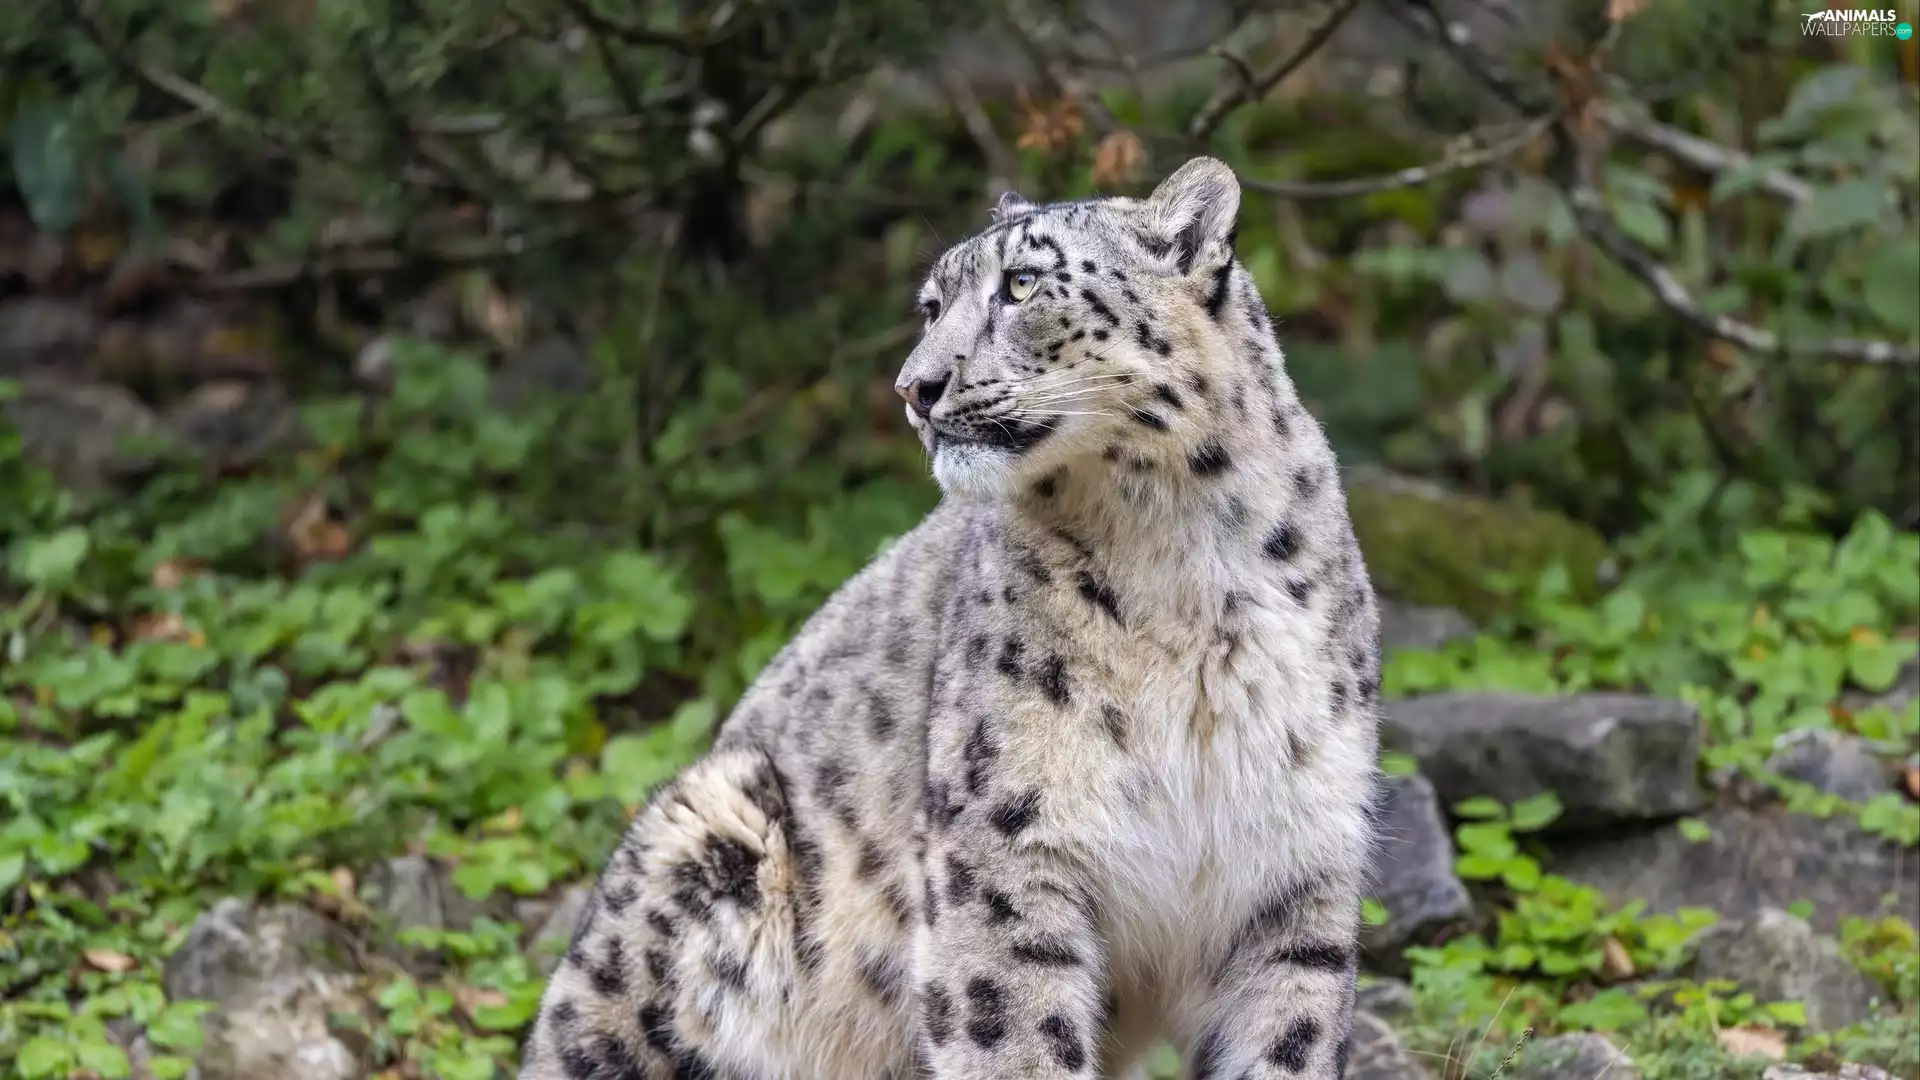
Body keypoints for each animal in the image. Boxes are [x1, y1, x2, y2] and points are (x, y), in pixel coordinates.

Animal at [517, 156, 1384, 1080]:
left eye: (1023, 282)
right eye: (933, 305)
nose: (914, 387)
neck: (1185, 567)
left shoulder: (1296, 873)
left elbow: (1287, 1043)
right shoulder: (1007, 848)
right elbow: (1018, 1042)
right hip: (711, 832)